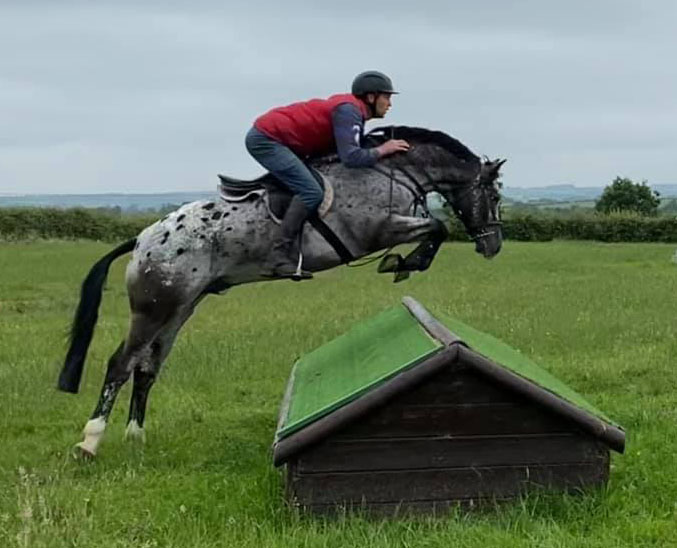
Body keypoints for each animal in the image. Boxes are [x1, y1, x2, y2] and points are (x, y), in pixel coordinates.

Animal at [58, 126, 504, 456]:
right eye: (495, 195)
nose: (494, 246)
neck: (387, 171)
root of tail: (143, 239)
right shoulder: (376, 230)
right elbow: (438, 227)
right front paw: (400, 264)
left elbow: (435, 228)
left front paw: (404, 264)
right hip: (154, 308)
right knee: (121, 363)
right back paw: (90, 442)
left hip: (181, 307)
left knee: (147, 367)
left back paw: (136, 438)